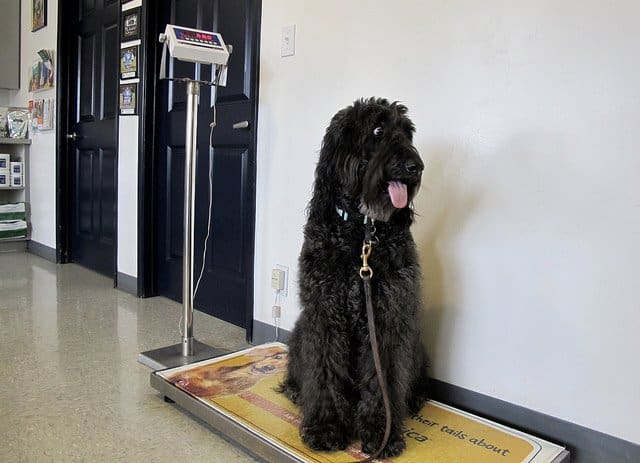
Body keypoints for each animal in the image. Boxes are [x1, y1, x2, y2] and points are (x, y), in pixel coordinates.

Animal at [282, 96, 428, 458]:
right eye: (377, 129)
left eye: (407, 132)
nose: (416, 167)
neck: (362, 233)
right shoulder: (324, 314)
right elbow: (323, 371)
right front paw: (325, 427)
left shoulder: (387, 317)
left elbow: (382, 377)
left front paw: (381, 433)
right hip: (301, 331)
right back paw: (295, 390)